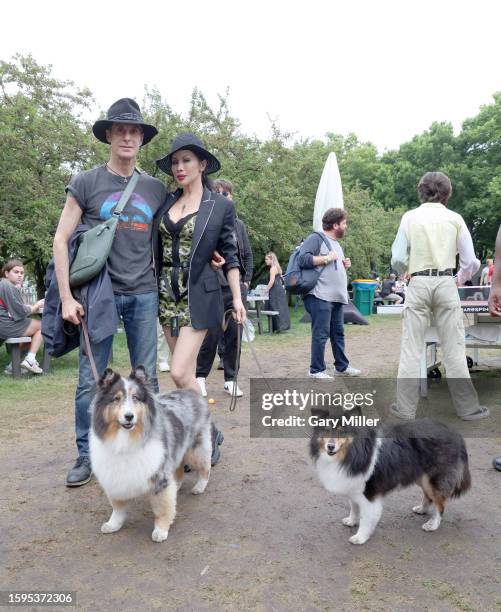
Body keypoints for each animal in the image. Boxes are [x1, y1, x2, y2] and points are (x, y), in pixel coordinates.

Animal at [90, 366, 211, 544]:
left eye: (135, 398)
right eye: (116, 399)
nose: (129, 416)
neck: (127, 439)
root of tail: (191, 392)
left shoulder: (158, 476)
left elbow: (162, 509)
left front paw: (161, 530)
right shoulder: (114, 476)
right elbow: (117, 508)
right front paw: (113, 525)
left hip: (195, 450)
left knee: (205, 468)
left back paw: (199, 487)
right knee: (179, 470)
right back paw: (177, 485)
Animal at [310, 416, 470, 544]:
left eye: (343, 432)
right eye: (326, 430)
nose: (330, 447)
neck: (349, 454)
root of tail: (455, 433)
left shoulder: (369, 494)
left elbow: (366, 518)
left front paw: (360, 537)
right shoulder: (353, 486)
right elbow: (354, 507)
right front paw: (351, 521)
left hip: (434, 479)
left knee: (440, 503)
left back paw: (433, 525)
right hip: (422, 477)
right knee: (429, 496)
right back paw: (422, 509)